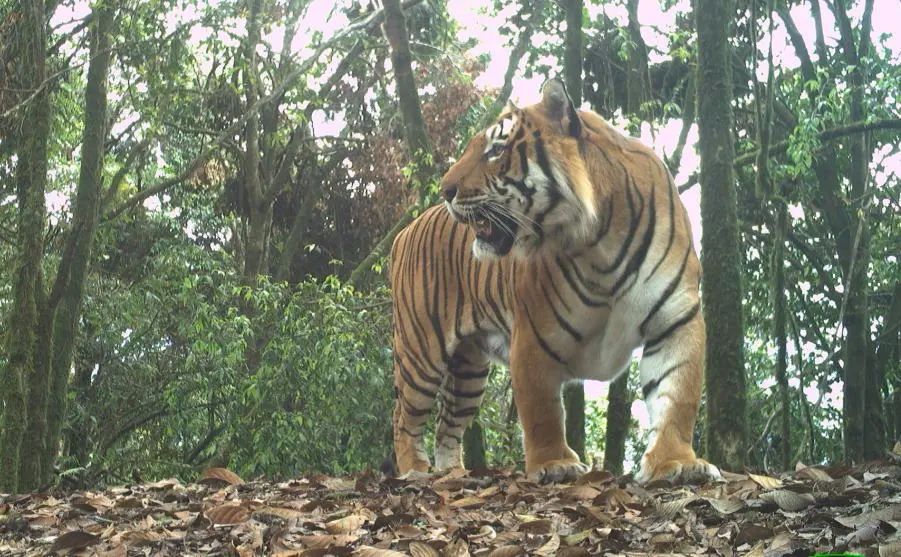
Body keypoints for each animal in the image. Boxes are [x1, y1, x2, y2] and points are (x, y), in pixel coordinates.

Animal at [386, 78, 716, 482]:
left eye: (496, 149)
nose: (445, 190)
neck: (600, 242)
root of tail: (405, 230)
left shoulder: (675, 320)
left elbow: (677, 396)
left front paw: (677, 463)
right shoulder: (534, 334)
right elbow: (541, 409)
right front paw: (553, 464)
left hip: (468, 370)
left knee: (446, 425)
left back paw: (453, 475)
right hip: (421, 352)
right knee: (403, 418)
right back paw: (415, 470)